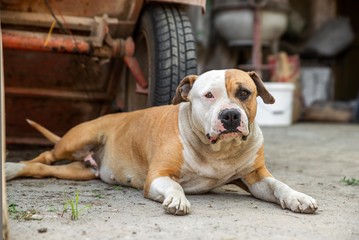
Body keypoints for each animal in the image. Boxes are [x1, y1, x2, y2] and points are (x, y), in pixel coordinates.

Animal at [4, 68, 318, 215]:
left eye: (244, 93)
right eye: (208, 95)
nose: (230, 115)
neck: (218, 151)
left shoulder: (255, 177)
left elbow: (278, 185)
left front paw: (298, 197)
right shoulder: (158, 175)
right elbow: (175, 184)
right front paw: (177, 199)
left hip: (78, 171)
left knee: (42, 168)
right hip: (76, 140)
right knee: (43, 157)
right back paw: (9, 168)